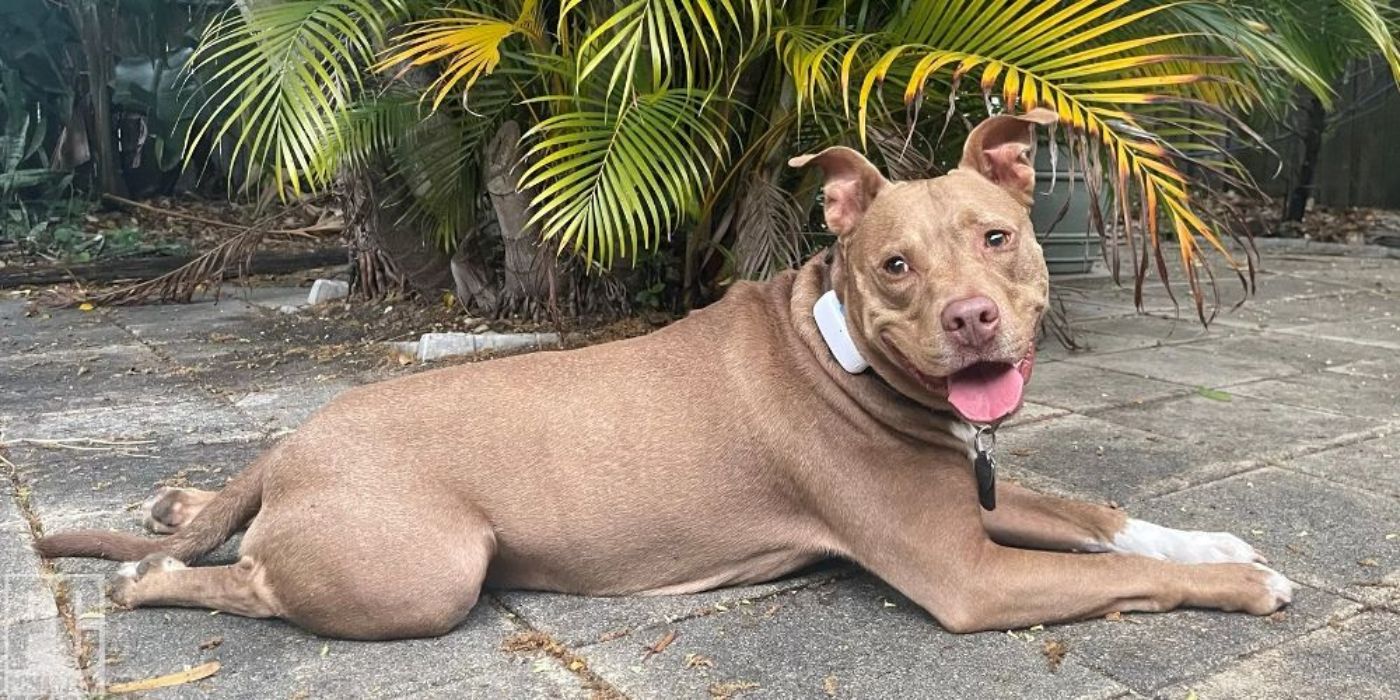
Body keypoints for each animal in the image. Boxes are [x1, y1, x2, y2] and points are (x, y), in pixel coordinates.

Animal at [32, 107, 1288, 641]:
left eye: (995, 237)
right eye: (893, 264)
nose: (973, 317)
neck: (836, 342)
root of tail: (297, 442)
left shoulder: (973, 495)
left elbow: (1099, 516)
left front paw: (1213, 539)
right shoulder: (964, 572)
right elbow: (1115, 572)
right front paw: (1241, 580)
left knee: (222, 526)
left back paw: (175, 506)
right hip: (428, 570)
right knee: (245, 580)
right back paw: (146, 576)